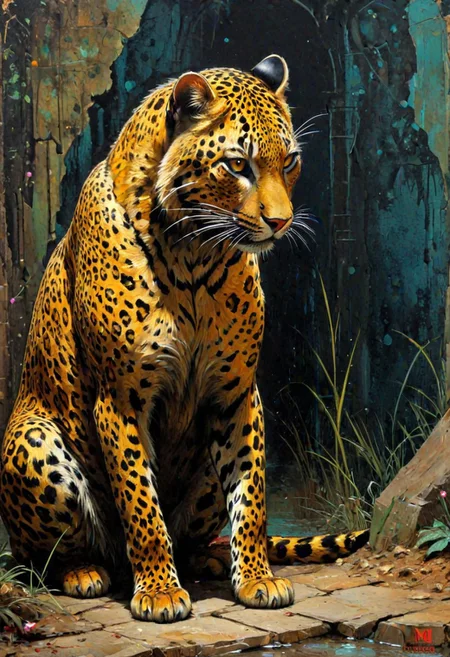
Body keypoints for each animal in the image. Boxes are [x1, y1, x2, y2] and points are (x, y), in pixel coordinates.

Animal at [0, 55, 368, 624]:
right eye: (238, 165)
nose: (281, 221)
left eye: (289, 161)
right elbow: (141, 504)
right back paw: (86, 572)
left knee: (197, 531)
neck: (194, 254)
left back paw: (210, 559)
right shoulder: (120, 400)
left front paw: (257, 579)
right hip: (31, 441)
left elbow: (251, 495)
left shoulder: (237, 393)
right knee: (40, 556)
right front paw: (158, 592)